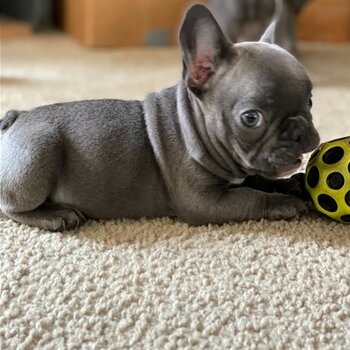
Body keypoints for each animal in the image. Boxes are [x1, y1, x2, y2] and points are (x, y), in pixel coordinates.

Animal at [0, 4, 320, 232]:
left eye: (310, 101)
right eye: (251, 118)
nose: (301, 132)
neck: (194, 126)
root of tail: (17, 119)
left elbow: (260, 179)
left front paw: (292, 184)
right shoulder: (205, 202)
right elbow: (251, 196)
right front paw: (285, 202)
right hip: (37, 156)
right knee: (12, 206)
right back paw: (56, 215)